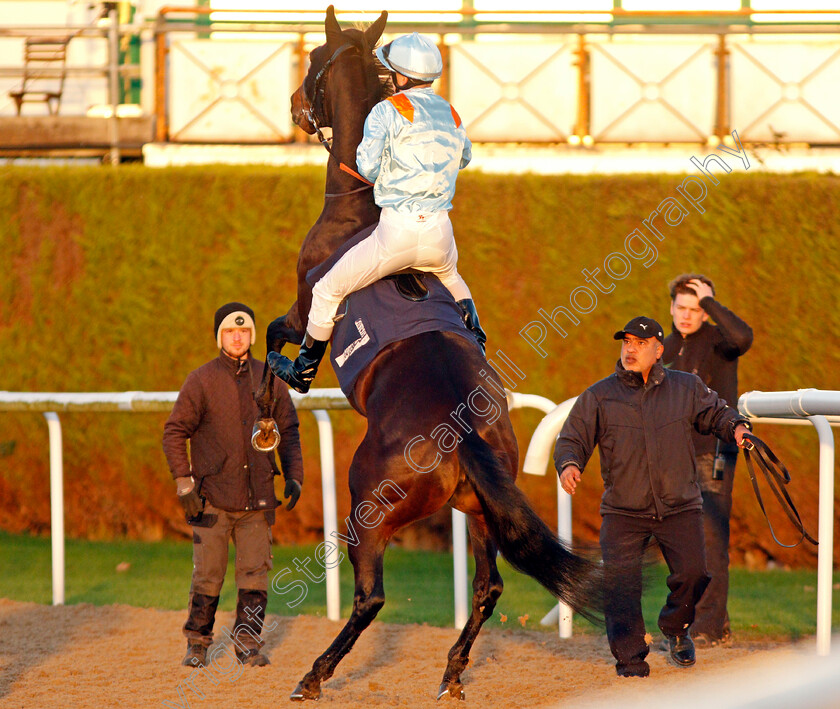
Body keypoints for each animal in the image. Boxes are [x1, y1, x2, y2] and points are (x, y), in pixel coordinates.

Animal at [256, 6, 604, 704]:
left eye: (312, 60)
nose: (295, 107)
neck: (363, 206)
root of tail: (463, 430)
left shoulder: (306, 301)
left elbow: (284, 334)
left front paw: (283, 375)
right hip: (480, 511)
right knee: (488, 586)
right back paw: (451, 672)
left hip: (369, 506)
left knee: (370, 597)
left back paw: (315, 674)